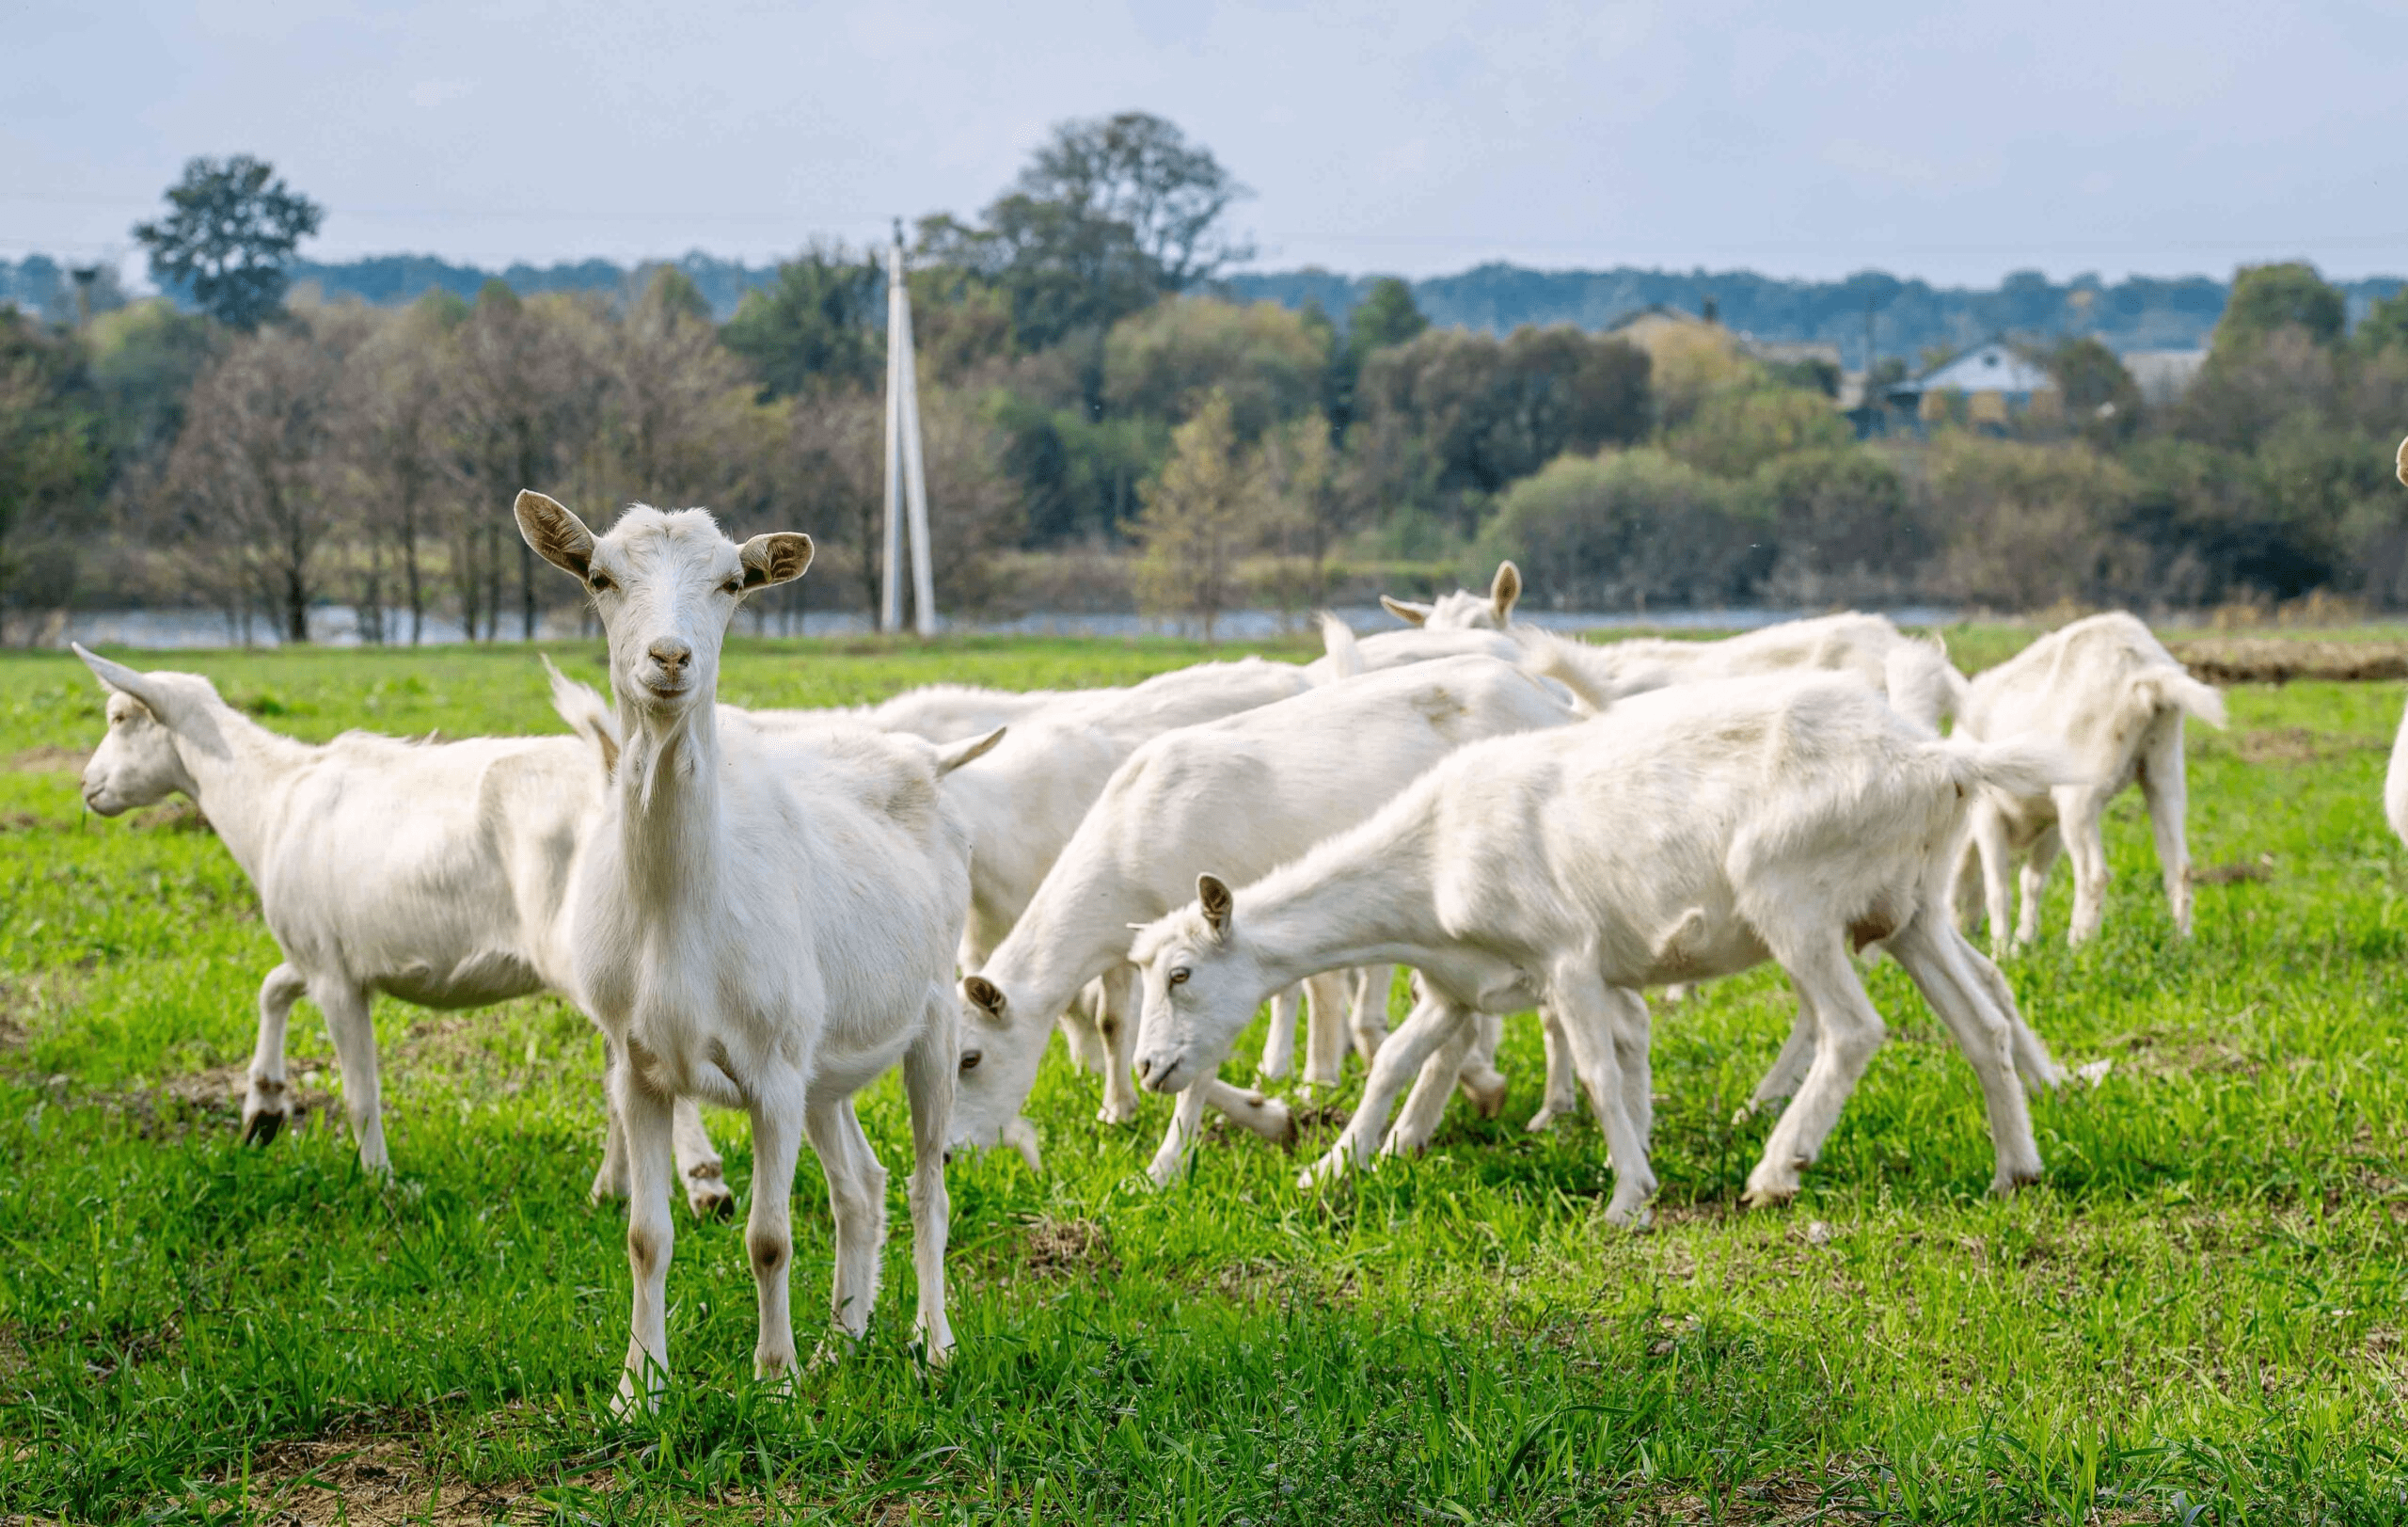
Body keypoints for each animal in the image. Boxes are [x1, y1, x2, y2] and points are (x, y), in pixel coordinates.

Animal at [72, 640, 732, 1214]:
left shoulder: (334, 975)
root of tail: (612, 767)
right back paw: (611, 1190)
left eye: (120, 716)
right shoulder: (324, 952)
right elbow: (272, 986)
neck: (269, 801)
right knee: (621, 1079)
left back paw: (705, 1184)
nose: (87, 787)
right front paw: (263, 1109)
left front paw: (380, 1181)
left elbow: (360, 1092)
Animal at [517, 493, 977, 1396]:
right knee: (860, 1185)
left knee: (926, 1185)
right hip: (824, 1058)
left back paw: (932, 1344)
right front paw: (638, 1389)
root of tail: (929, 760)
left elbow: (769, 1237)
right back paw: (844, 1338)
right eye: (599, 577)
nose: (669, 655)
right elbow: (645, 1238)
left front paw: (776, 1379)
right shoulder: (640, 1063)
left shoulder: (771, 1068)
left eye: (733, 581)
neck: (681, 919)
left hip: (932, 1009)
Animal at [948, 650, 1589, 1185]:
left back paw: (1537, 1109)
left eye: (969, 1058)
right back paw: (1455, 1108)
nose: (951, 1152)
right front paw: (1239, 1112)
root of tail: (1555, 702)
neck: (1124, 851)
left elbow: (1196, 1059)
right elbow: (1120, 1026)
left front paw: (1168, 1167)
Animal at [1136, 669, 2080, 1218]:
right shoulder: (1460, 981)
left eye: (1181, 973)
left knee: (1854, 1029)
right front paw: (1330, 1167)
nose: (1148, 1068)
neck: (1430, 858)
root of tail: (1940, 761)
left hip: (1795, 893)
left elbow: (1593, 1070)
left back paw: (1776, 1169)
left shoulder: (1566, 957)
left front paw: (1628, 1195)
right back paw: (2015, 1171)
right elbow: (1396, 1061)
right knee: (1981, 1025)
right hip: (1909, 906)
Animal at [1945, 609, 2225, 953]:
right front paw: (2023, 942)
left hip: (2080, 791)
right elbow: (2031, 881)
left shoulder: (1988, 811)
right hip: (2164, 767)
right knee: (2180, 866)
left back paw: (2079, 946)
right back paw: (2180, 942)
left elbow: (1998, 888)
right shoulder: (2050, 823)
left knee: (2094, 874)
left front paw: (2002, 951)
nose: (1964, 934)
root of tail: (2144, 668)